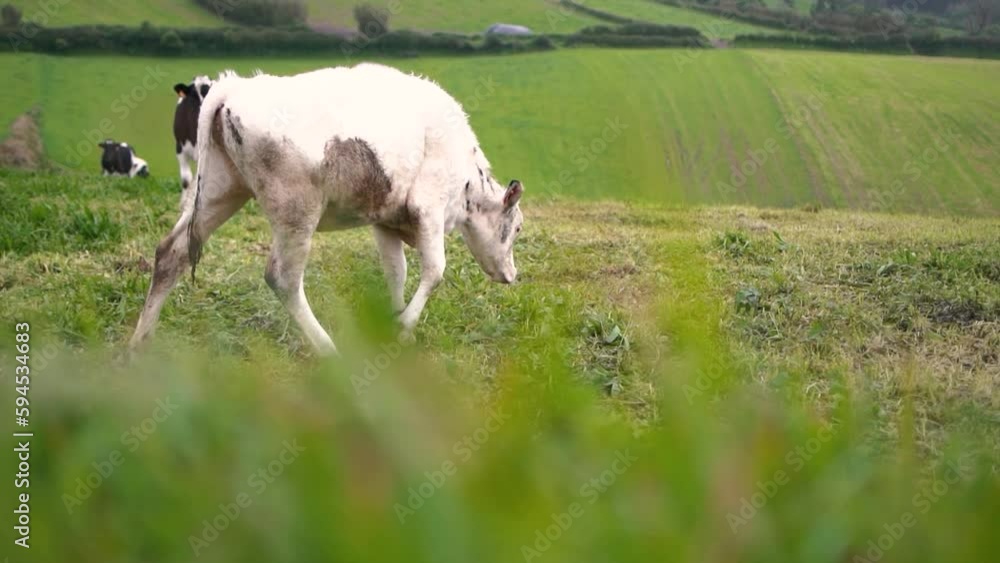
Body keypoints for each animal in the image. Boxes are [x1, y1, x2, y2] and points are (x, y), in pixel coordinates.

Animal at [130, 63, 525, 356]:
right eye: (517, 228)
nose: (512, 275)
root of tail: (235, 87)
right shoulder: (429, 207)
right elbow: (435, 270)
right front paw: (404, 327)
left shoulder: (385, 220)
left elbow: (395, 271)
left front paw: (393, 320)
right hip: (295, 212)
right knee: (283, 278)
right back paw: (327, 348)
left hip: (220, 191)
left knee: (172, 253)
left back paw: (139, 344)